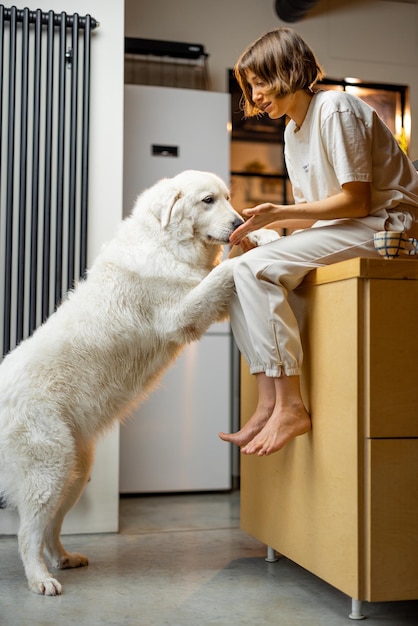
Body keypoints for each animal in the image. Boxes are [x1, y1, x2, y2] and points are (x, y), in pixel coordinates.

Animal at [0, 168, 245, 592]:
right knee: (28, 533)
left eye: (228, 197)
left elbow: (216, 279)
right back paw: (41, 580)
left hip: (75, 472)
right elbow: (219, 275)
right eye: (208, 200)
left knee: (49, 529)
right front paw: (248, 254)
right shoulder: (182, 312)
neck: (166, 243)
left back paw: (63, 559)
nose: (240, 222)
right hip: (48, 469)